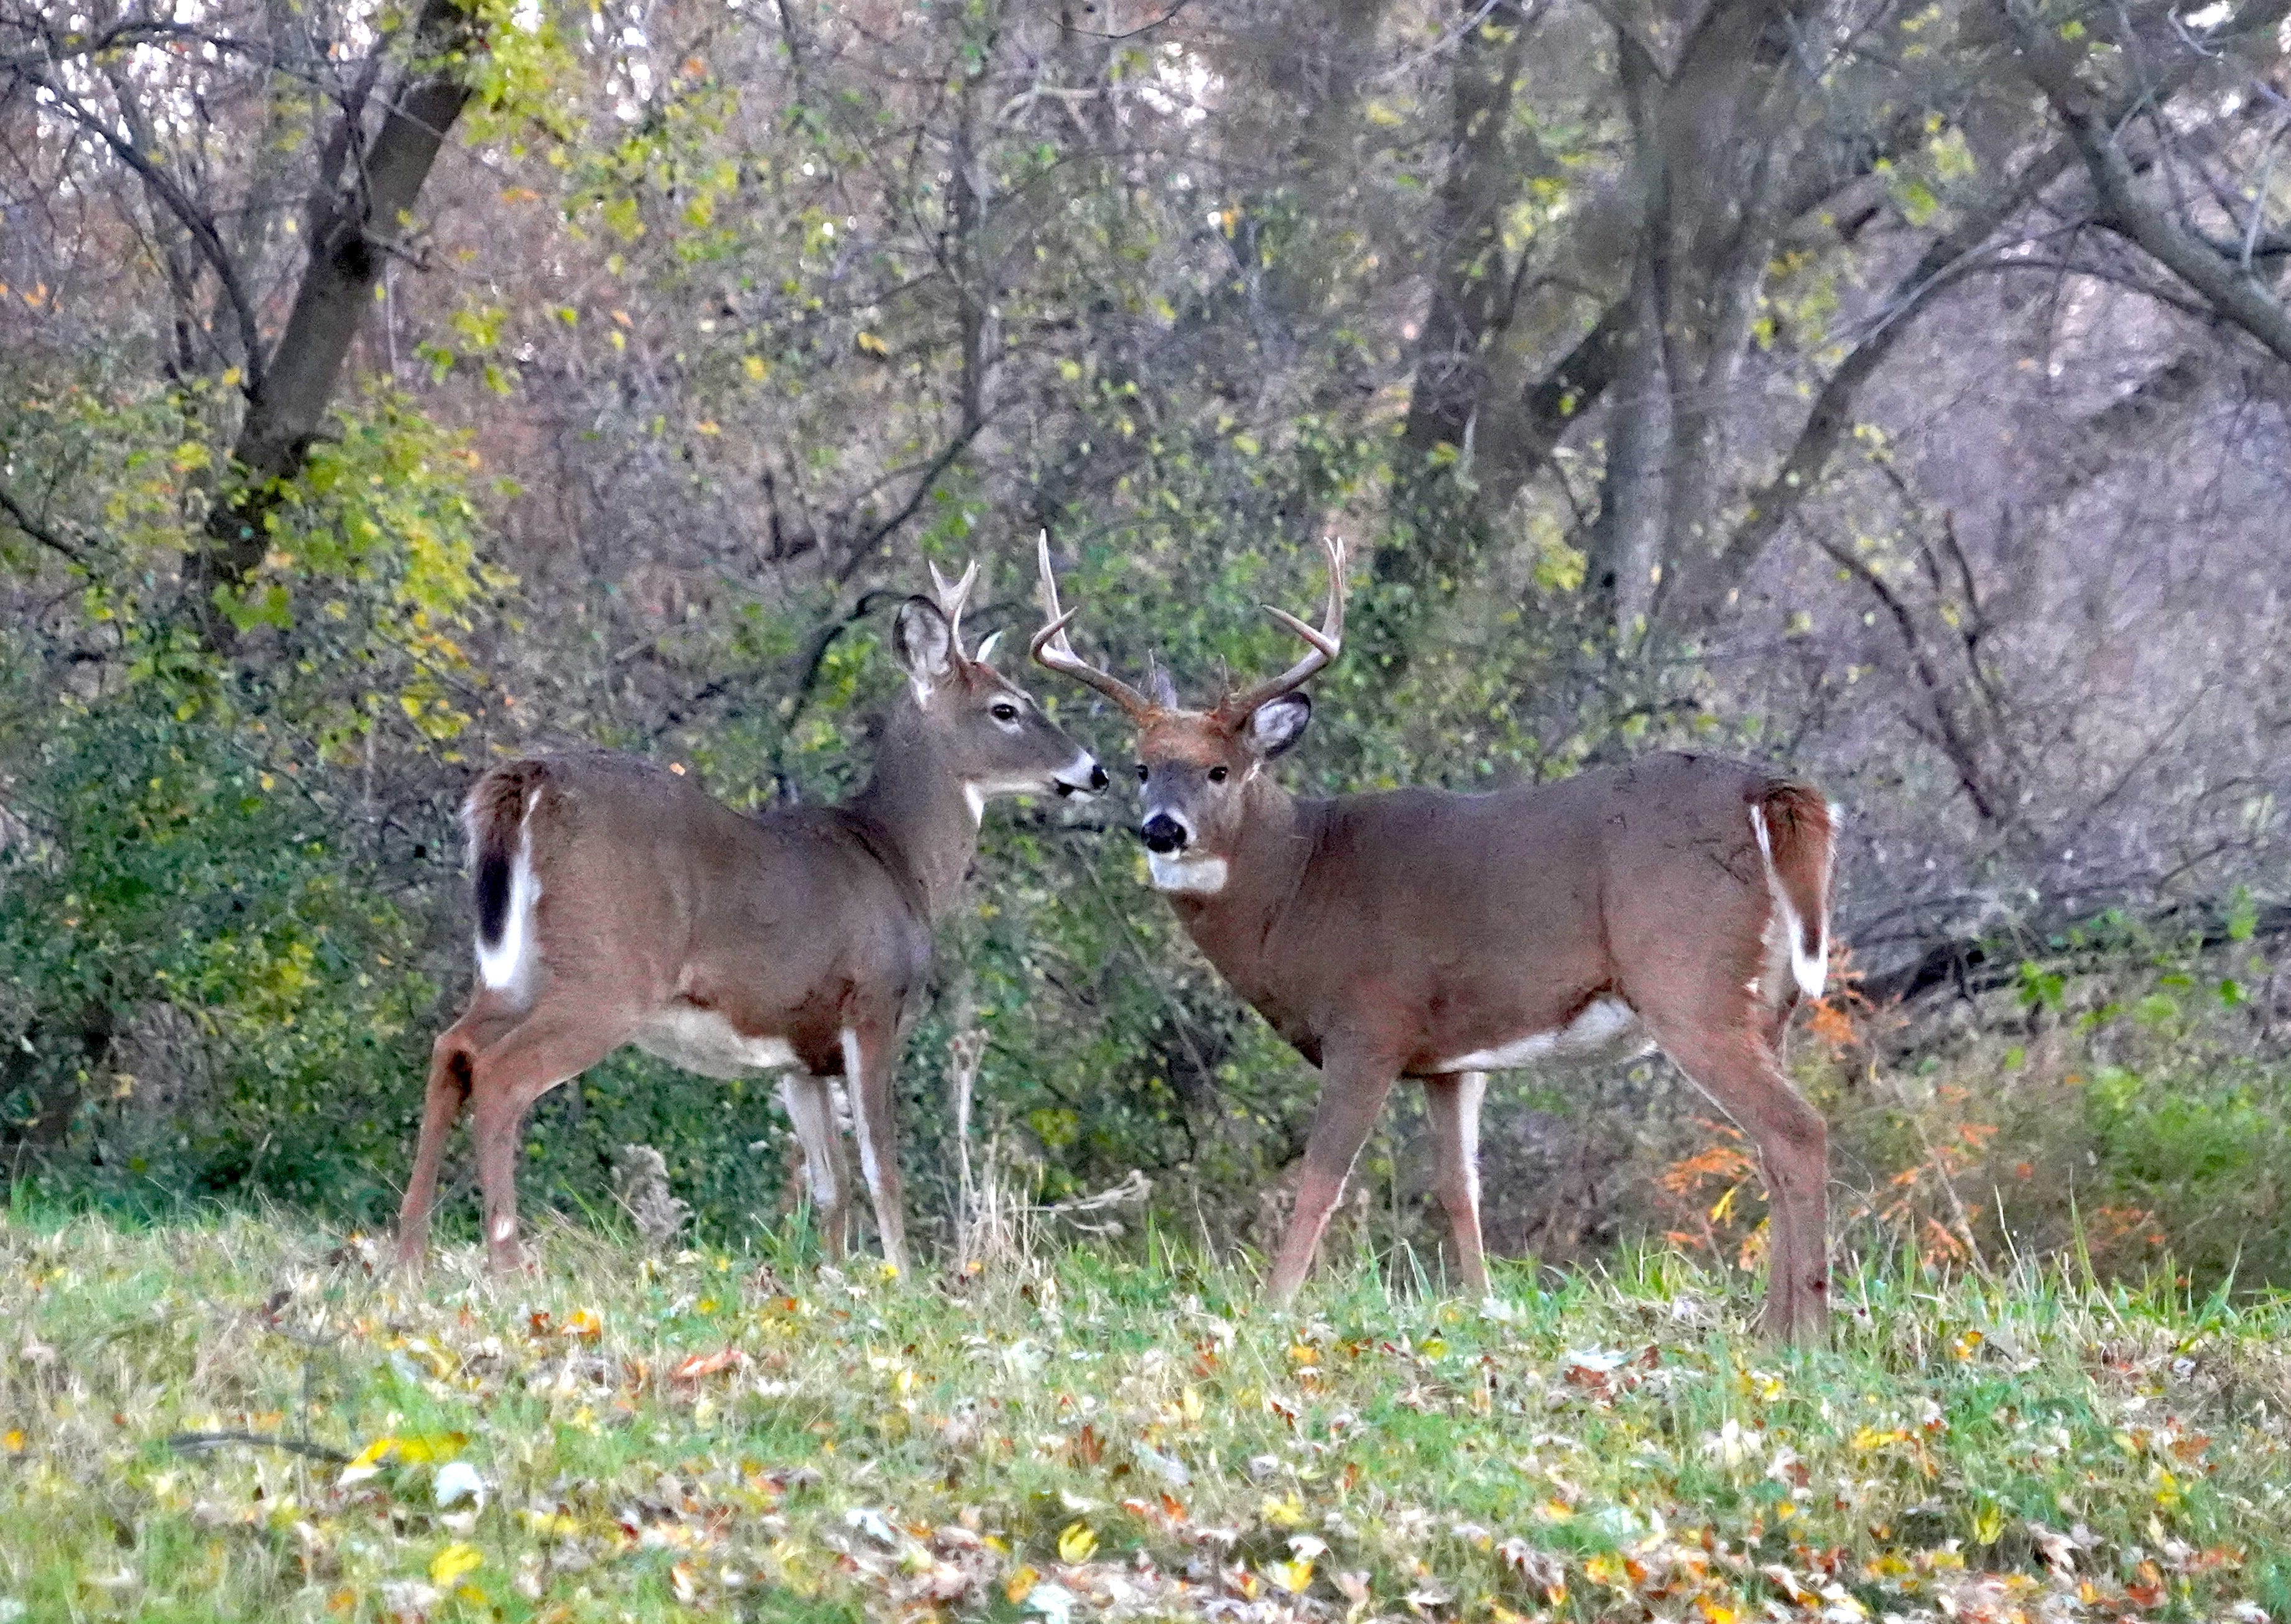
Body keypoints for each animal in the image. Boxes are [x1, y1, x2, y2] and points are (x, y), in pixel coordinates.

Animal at [396, 563, 1109, 1273]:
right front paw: (902, 1278)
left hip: (513, 968)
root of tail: (528, 780)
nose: (1095, 771)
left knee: (452, 1047)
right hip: (609, 973)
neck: (899, 858)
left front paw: (833, 1276)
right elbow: (882, 1170)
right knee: (500, 1074)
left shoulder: (799, 1056)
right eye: (1007, 708)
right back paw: (504, 1263)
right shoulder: (874, 1004)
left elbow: (831, 1185)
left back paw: (406, 1258)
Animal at [1030, 538, 1833, 1337]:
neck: (1298, 886)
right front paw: (1482, 1304)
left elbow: (1320, 1181)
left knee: (1797, 1129)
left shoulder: (1368, 1025)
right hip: (1772, 1002)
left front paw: (1272, 1307)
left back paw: (1805, 1332)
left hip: (1688, 982)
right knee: (1771, 1143)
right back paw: (1774, 1326)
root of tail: (1770, 794)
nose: (1161, 829)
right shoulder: (1450, 1058)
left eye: (1219, 769)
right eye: (1142, 767)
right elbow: (1459, 1187)